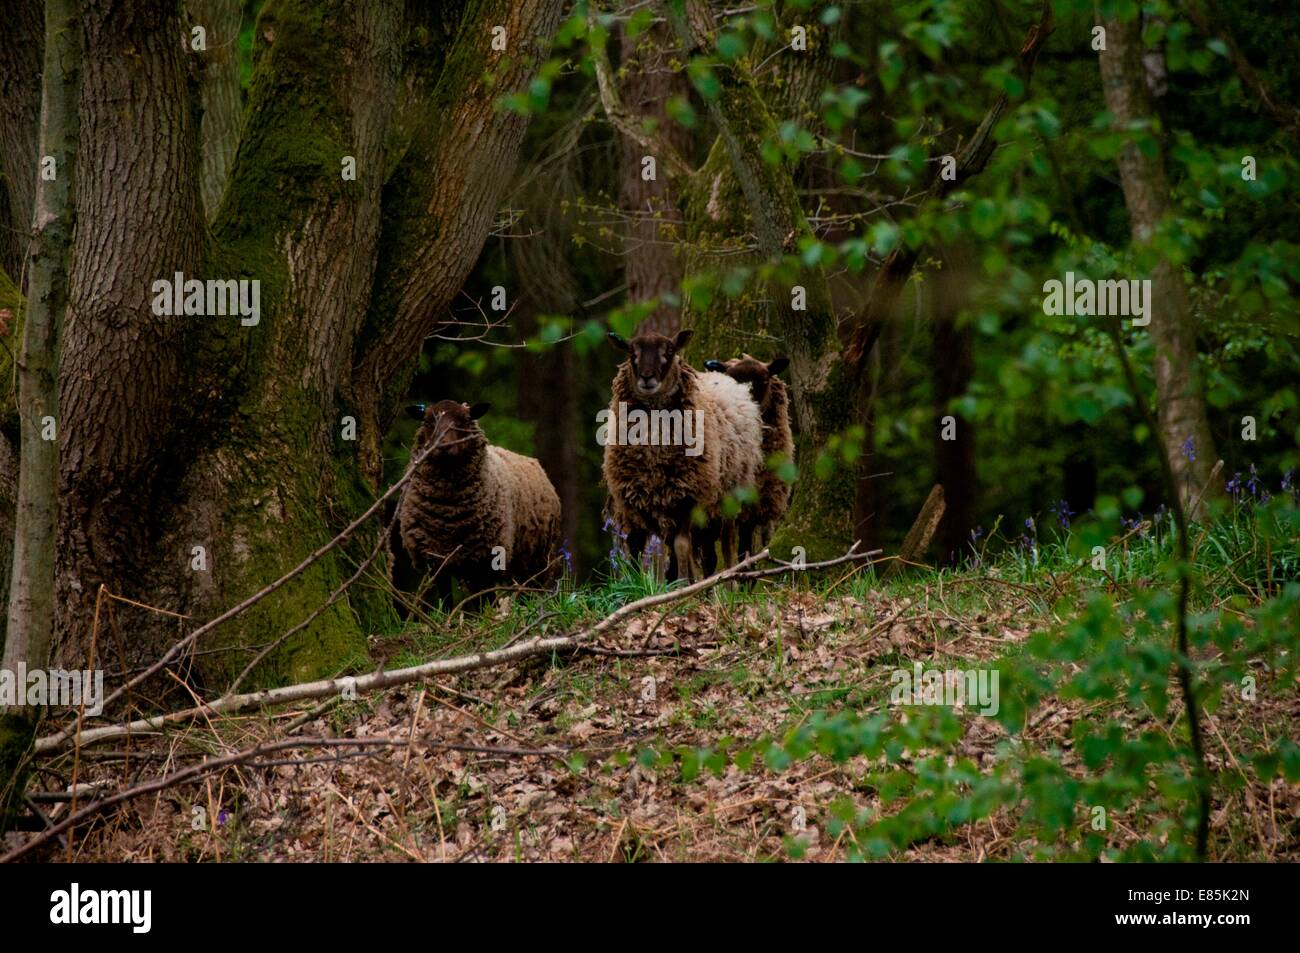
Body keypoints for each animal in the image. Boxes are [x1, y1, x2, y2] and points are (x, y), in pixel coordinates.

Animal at [388, 399, 561, 613]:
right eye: (428, 422)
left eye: (464, 420)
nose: (444, 445)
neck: (448, 516)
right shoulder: (436, 561)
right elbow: (446, 599)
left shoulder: (485, 560)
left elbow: (484, 600)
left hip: (536, 560)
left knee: (529, 591)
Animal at [602, 328, 763, 582]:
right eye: (631, 353)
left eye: (669, 351)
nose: (647, 377)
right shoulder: (636, 501)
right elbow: (637, 548)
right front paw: (641, 586)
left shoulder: (688, 498)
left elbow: (681, 546)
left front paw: (683, 586)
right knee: (702, 553)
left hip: (728, 497)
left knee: (726, 545)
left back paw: (728, 583)